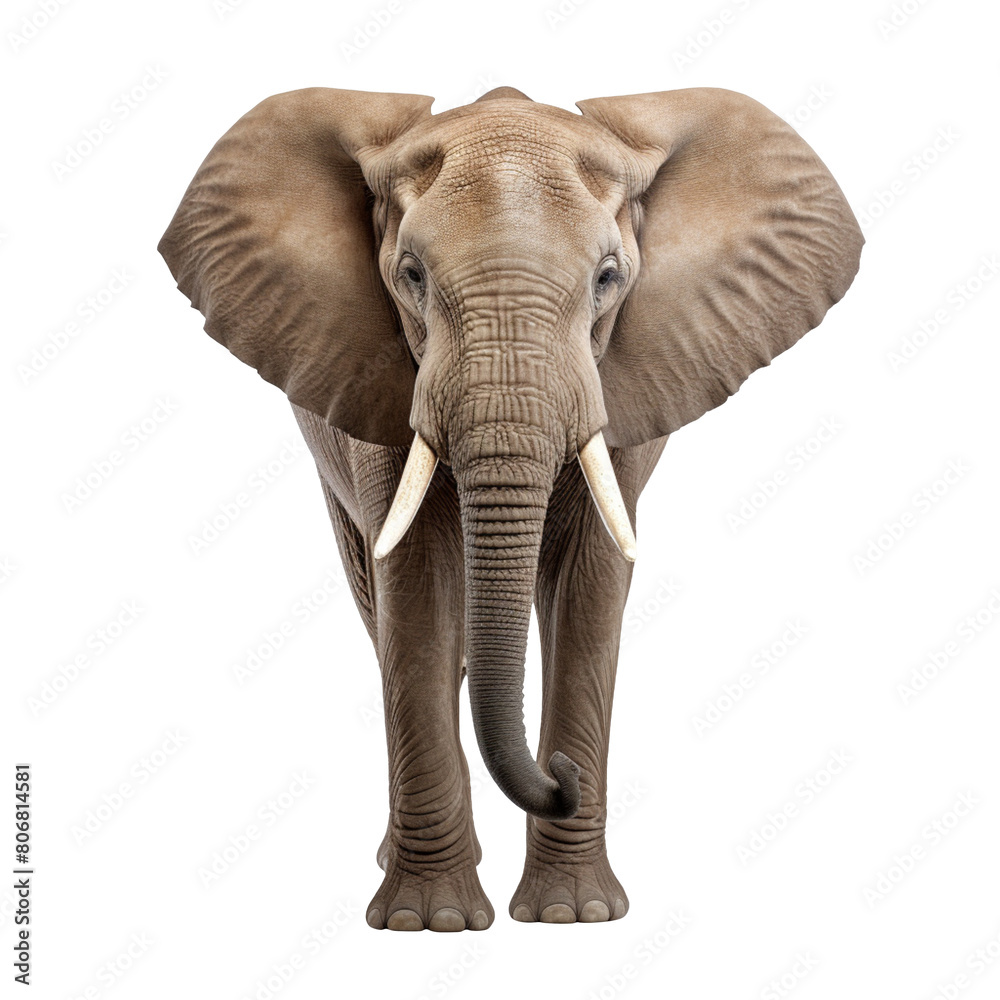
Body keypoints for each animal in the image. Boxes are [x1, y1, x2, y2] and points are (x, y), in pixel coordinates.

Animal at [158, 85, 862, 931]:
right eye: (411, 275)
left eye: (608, 278)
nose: (559, 776)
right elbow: (418, 592)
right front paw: (428, 923)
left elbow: (589, 590)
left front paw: (572, 915)